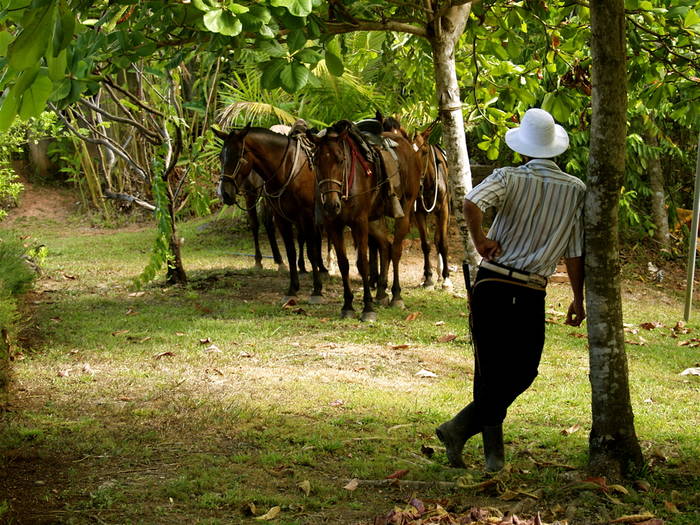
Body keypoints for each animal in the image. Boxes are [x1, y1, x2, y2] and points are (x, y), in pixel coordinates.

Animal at [213, 124, 322, 300]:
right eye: (220, 157)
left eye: (238, 156)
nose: (225, 193)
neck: (287, 169)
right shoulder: (282, 218)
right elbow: (291, 251)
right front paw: (293, 288)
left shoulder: (307, 216)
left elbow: (311, 250)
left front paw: (317, 288)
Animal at [312, 121, 422, 322]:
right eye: (316, 162)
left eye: (340, 160)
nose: (331, 205)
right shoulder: (334, 225)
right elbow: (344, 264)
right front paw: (348, 305)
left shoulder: (359, 223)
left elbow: (363, 263)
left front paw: (367, 308)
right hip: (374, 220)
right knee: (385, 246)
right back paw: (381, 293)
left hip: (404, 210)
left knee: (395, 250)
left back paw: (396, 295)